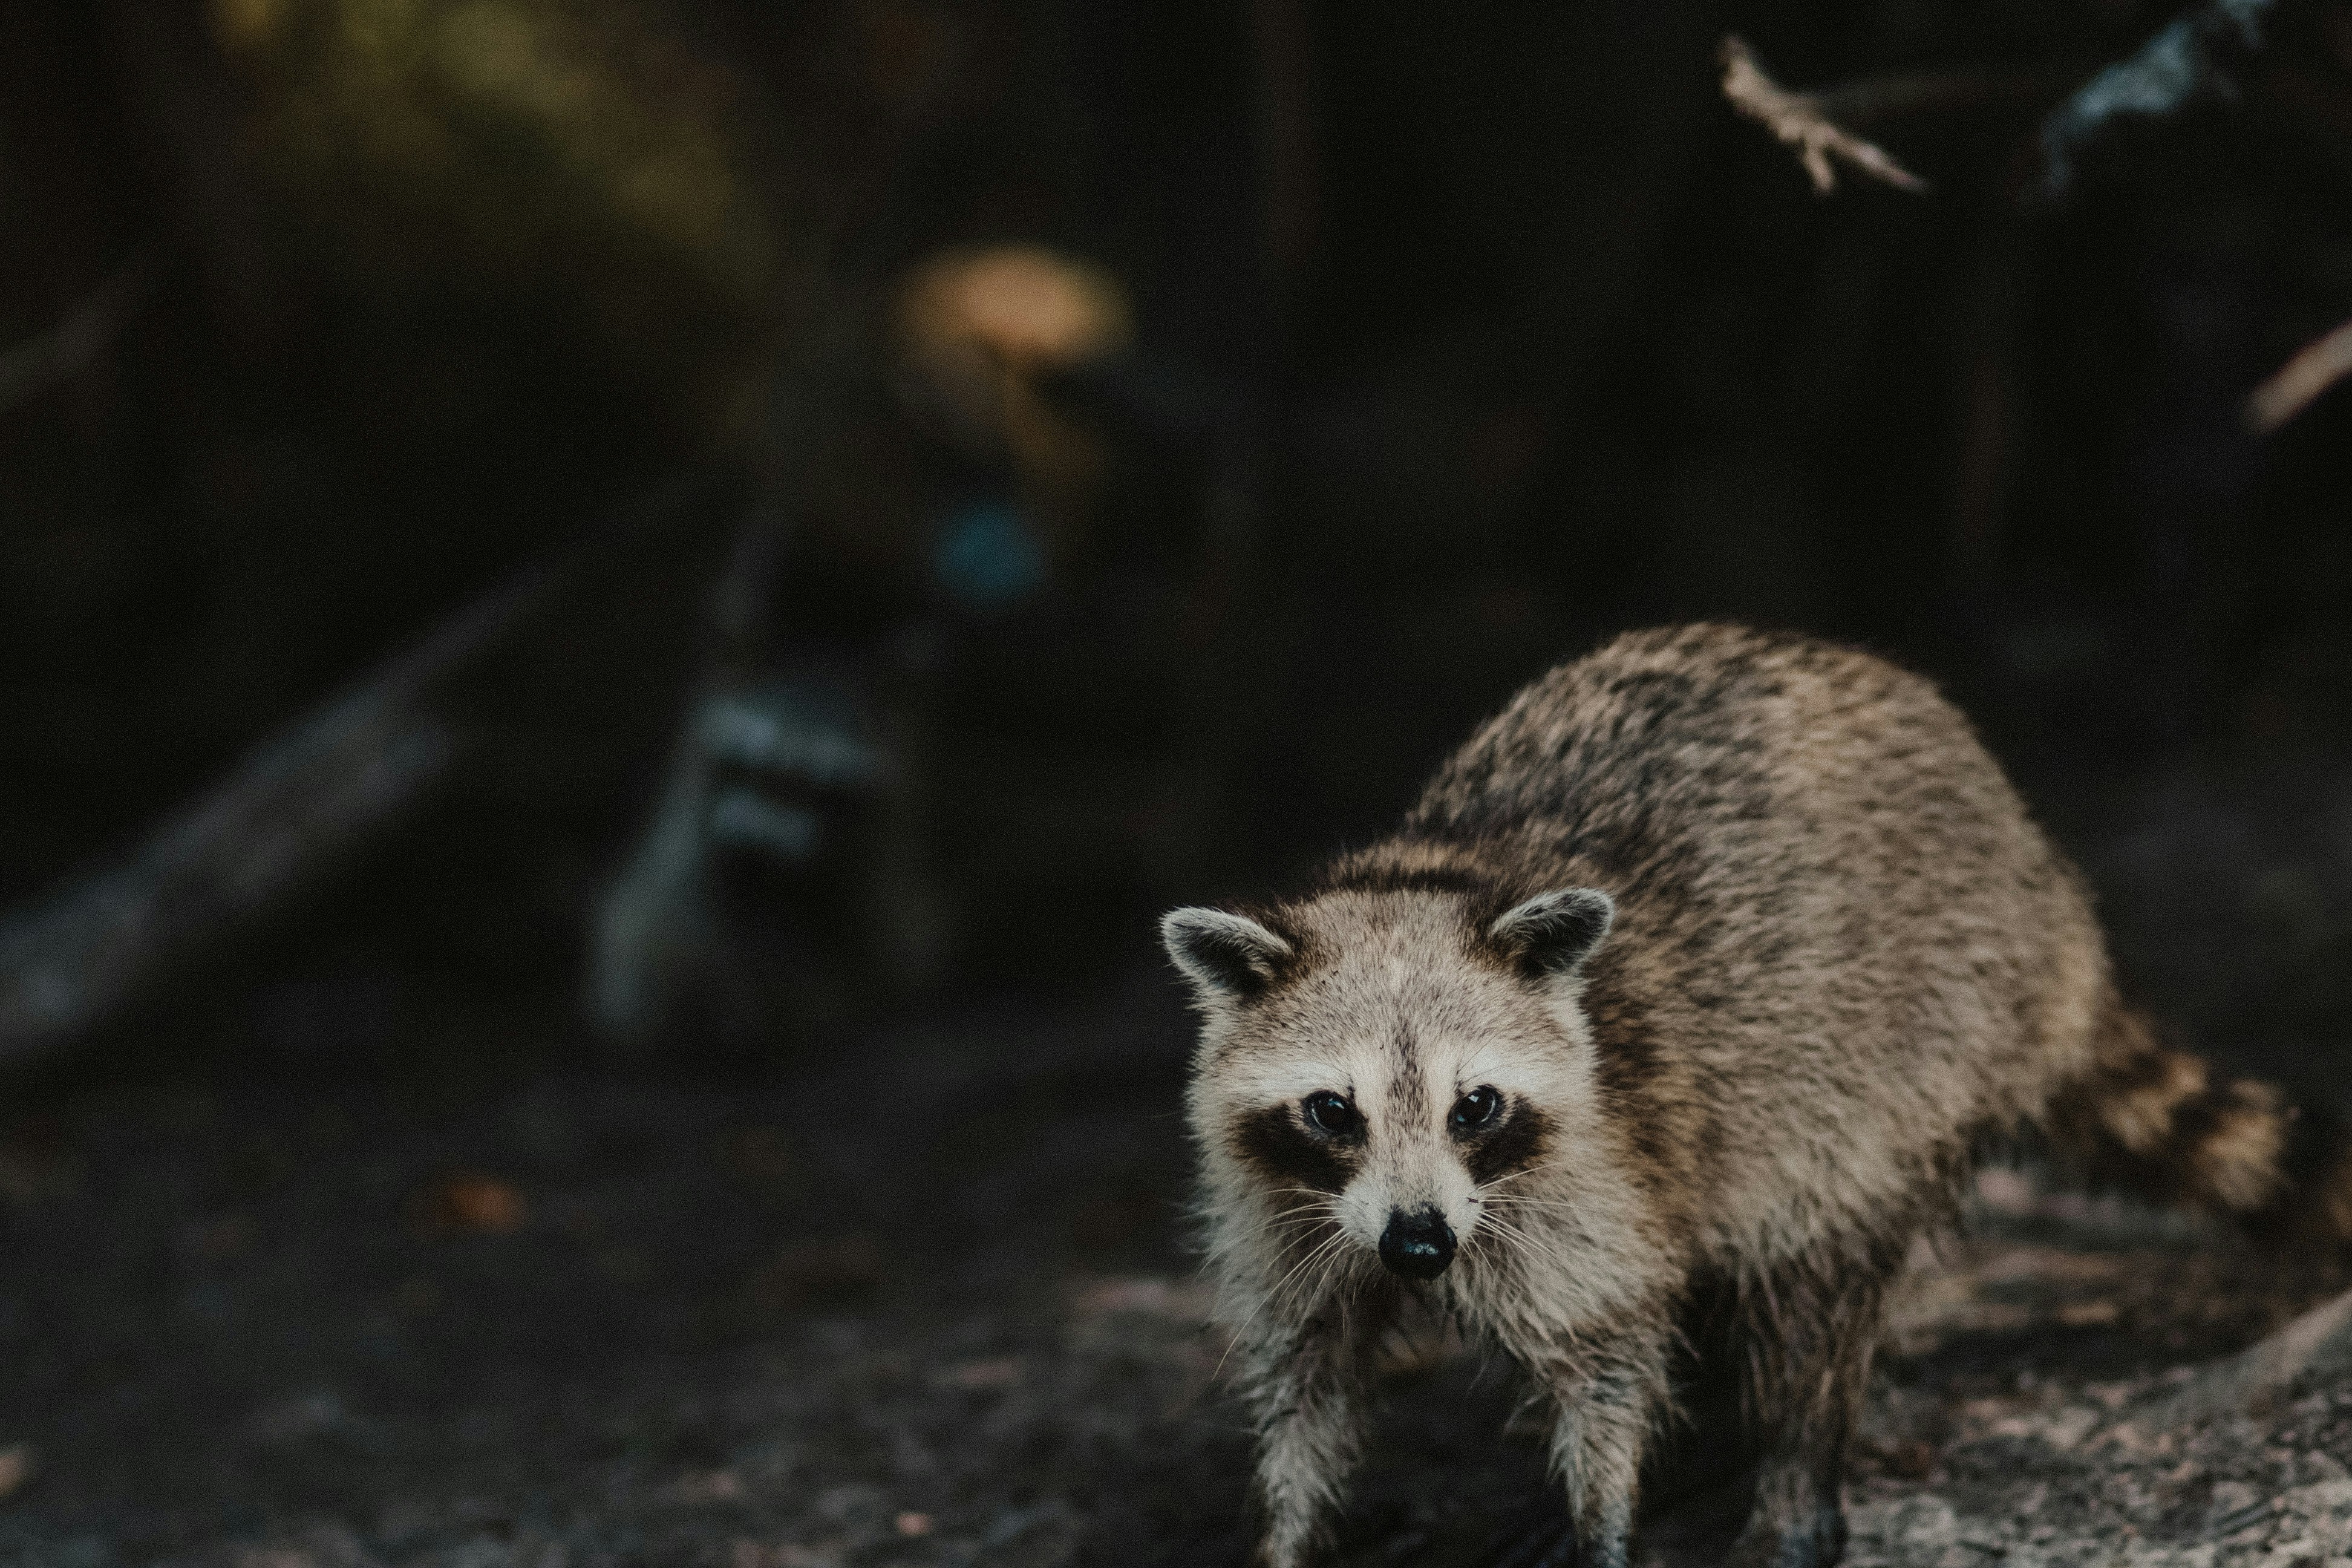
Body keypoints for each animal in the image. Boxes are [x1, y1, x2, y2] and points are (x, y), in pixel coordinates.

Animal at [1162, 624, 2352, 1568]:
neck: (1420, 884)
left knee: (1807, 1282)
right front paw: (1291, 1527)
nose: (1417, 1247)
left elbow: (1605, 1348)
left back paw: (1790, 1473)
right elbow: (1307, 1374)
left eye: (1475, 1106)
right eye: (1334, 1109)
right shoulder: (1281, 1206)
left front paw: (1606, 1504)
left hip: (1904, 1053)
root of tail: (2044, 893)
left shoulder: (1592, 1164)